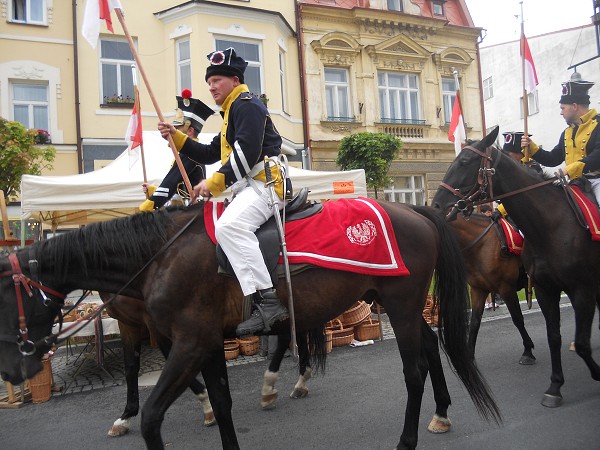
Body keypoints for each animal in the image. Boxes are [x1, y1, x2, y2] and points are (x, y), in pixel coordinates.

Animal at [0, 202, 500, 448]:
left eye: (5, 297)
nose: (12, 371)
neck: (160, 255)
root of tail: (416, 212)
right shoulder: (202, 344)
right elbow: (220, 405)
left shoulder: (187, 344)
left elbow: (154, 417)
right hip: (400, 306)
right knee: (432, 348)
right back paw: (441, 413)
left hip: (401, 304)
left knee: (414, 370)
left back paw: (407, 438)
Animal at [450, 213, 536, 364]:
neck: (481, 246)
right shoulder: (478, 290)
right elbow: (474, 323)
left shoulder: (506, 288)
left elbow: (517, 318)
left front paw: (527, 351)